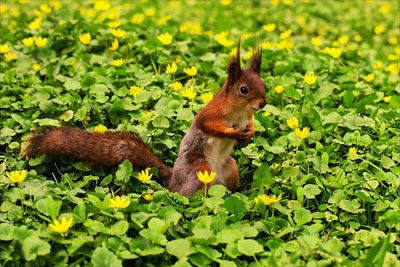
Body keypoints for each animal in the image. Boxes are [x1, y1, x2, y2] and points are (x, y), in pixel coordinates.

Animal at [25, 42, 266, 197]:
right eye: (244, 89)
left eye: (263, 84)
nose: (263, 103)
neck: (239, 111)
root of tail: (173, 180)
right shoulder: (211, 113)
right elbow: (209, 125)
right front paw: (232, 132)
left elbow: (250, 124)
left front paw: (251, 131)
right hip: (200, 171)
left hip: (230, 168)